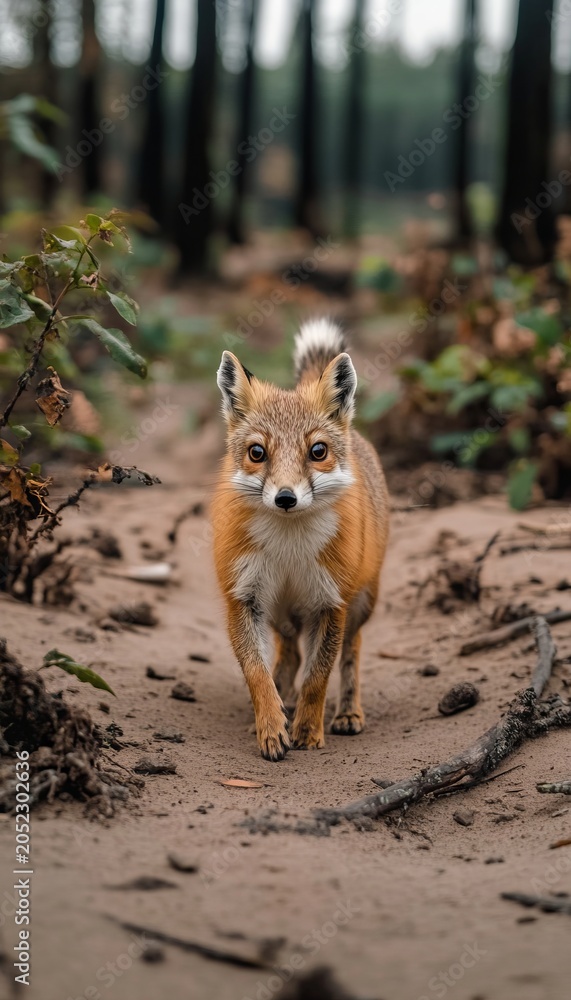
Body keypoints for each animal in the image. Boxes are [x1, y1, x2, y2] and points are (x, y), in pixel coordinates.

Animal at [211, 319, 389, 761]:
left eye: (318, 451)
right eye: (257, 452)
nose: (286, 498)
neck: (289, 550)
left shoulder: (331, 602)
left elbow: (318, 676)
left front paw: (309, 729)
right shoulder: (244, 596)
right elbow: (258, 674)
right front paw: (272, 727)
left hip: (360, 604)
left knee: (351, 653)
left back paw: (347, 712)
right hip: (279, 613)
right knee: (288, 654)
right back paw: (282, 702)